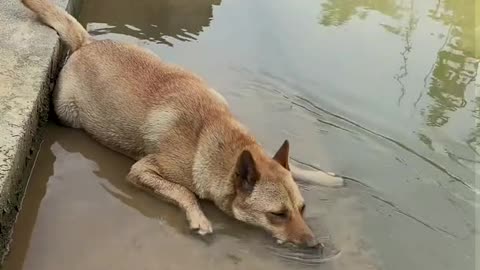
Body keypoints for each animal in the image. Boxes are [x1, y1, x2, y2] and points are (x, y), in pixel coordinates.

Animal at [20, 0, 344, 247]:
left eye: (302, 209)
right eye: (277, 215)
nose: (315, 245)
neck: (216, 139)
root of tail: (87, 43)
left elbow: (298, 168)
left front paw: (324, 177)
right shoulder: (142, 171)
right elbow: (184, 192)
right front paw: (198, 216)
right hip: (67, 114)